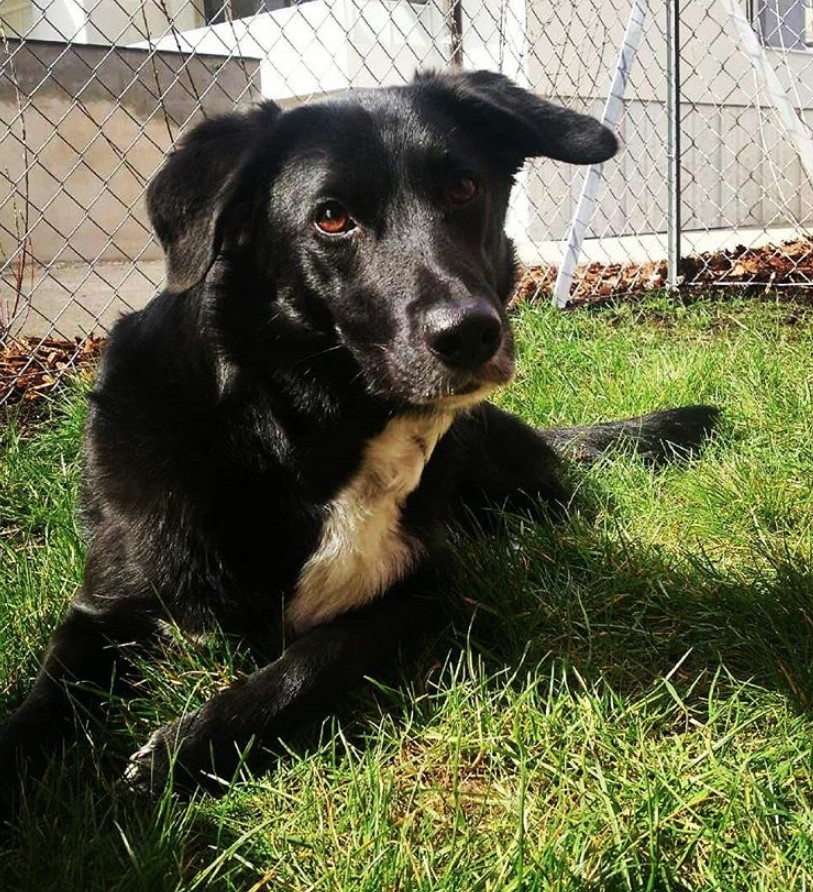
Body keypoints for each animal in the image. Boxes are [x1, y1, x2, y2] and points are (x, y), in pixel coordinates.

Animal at [0, 71, 712, 796]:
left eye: (463, 189)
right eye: (331, 217)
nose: (471, 334)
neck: (304, 431)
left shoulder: (424, 587)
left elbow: (314, 659)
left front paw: (187, 745)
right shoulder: (104, 604)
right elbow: (47, 699)